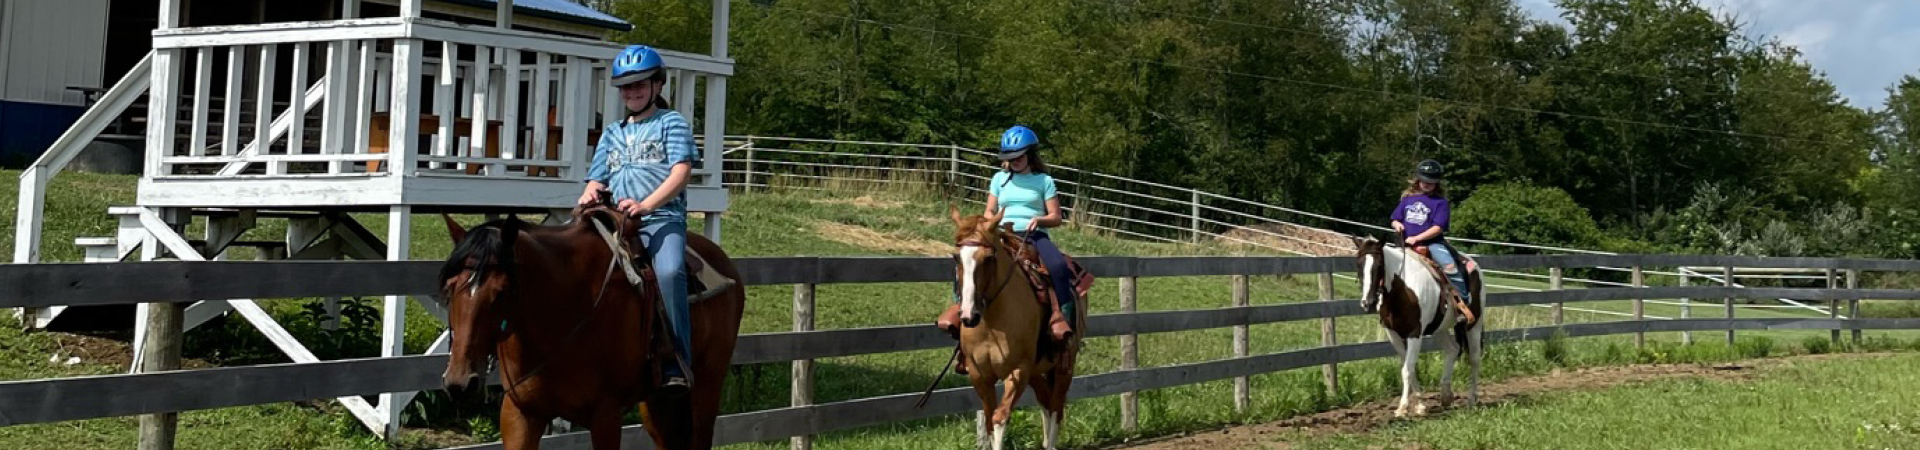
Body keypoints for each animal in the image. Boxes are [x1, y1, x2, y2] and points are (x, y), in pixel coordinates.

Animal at [439, 204, 744, 450]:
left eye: (501, 292)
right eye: (450, 287)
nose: (460, 381)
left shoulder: (605, 415)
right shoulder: (520, 414)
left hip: (706, 388)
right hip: (657, 403)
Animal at [952, 207, 1090, 450]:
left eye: (989, 258)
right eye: (956, 257)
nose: (969, 316)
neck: (992, 324)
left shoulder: (1018, 371)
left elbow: (1000, 418)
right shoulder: (980, 375)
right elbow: (990, 421)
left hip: (1065, 364)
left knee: (1056, 406)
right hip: (1037, 369)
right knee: (1046, 401)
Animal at [1351, 237, 1482, 417]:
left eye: (1380, 265)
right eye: (1358, 264)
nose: (1368, 303)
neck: (1402, 290)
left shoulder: (1415, 333)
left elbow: (1407, 369)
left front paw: (1402, 408)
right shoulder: (1393, 334)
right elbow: (1409, 367)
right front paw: (1420, 405)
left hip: (1474, 324)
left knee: (1474, 358)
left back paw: (1471, 399)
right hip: (1439, 328)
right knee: (1453, 349)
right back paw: (1446, 395)